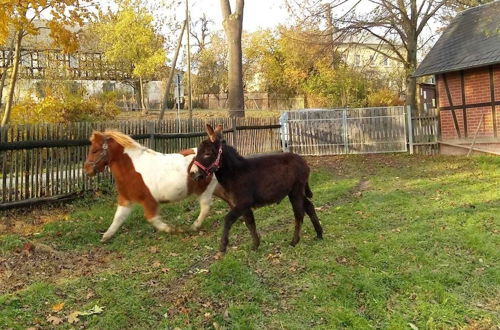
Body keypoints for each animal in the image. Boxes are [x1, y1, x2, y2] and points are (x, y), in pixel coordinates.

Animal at [85, 130, 222, 241]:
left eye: (95, 150)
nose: (87, 170)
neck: (133, 168)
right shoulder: (126, 199)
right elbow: (118, 217)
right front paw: (106, 236)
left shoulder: (149, 201)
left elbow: (152, 219)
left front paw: (173, 230)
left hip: (205, 191)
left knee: (205, 208)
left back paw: (194, 226)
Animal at [189, 124, 322, 255]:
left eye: (207, 153)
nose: (193, 173)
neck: (234, 173)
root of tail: (302, 161)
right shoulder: (242, 206)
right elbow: (250, 224)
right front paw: (255, 246)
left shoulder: (244, 203)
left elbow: (228, 219)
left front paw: (222, 247)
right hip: (294, 192)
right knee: (309, 207)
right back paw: (319, 234)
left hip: (296, 191)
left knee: (299, 214)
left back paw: (294, 241)